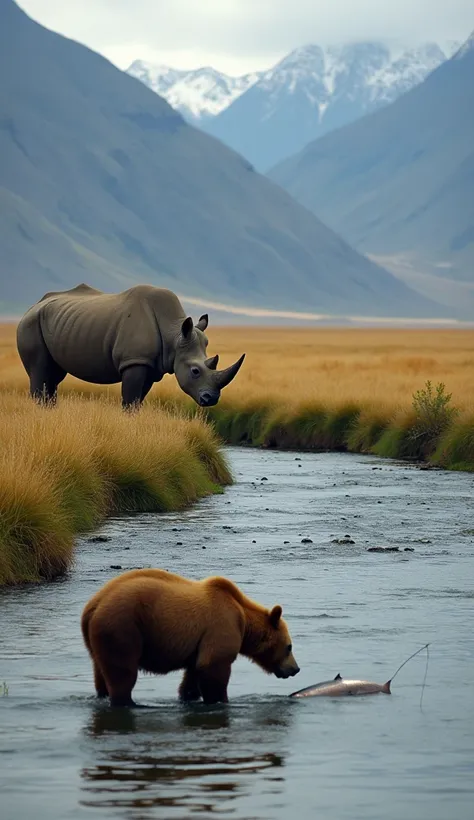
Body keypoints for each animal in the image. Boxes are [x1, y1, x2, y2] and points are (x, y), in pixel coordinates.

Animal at [79, 568, 298, 708]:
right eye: (289, 647)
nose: (295, 669)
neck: (243, 620)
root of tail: (93, 606)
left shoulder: (199, 645)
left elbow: (193, 674)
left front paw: (190, 696)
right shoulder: (221, 626)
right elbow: (214, 667)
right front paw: (221, 700)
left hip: (98, 641)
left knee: (101, 673)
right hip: (122, 627)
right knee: (123, 672)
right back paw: (129, 702)